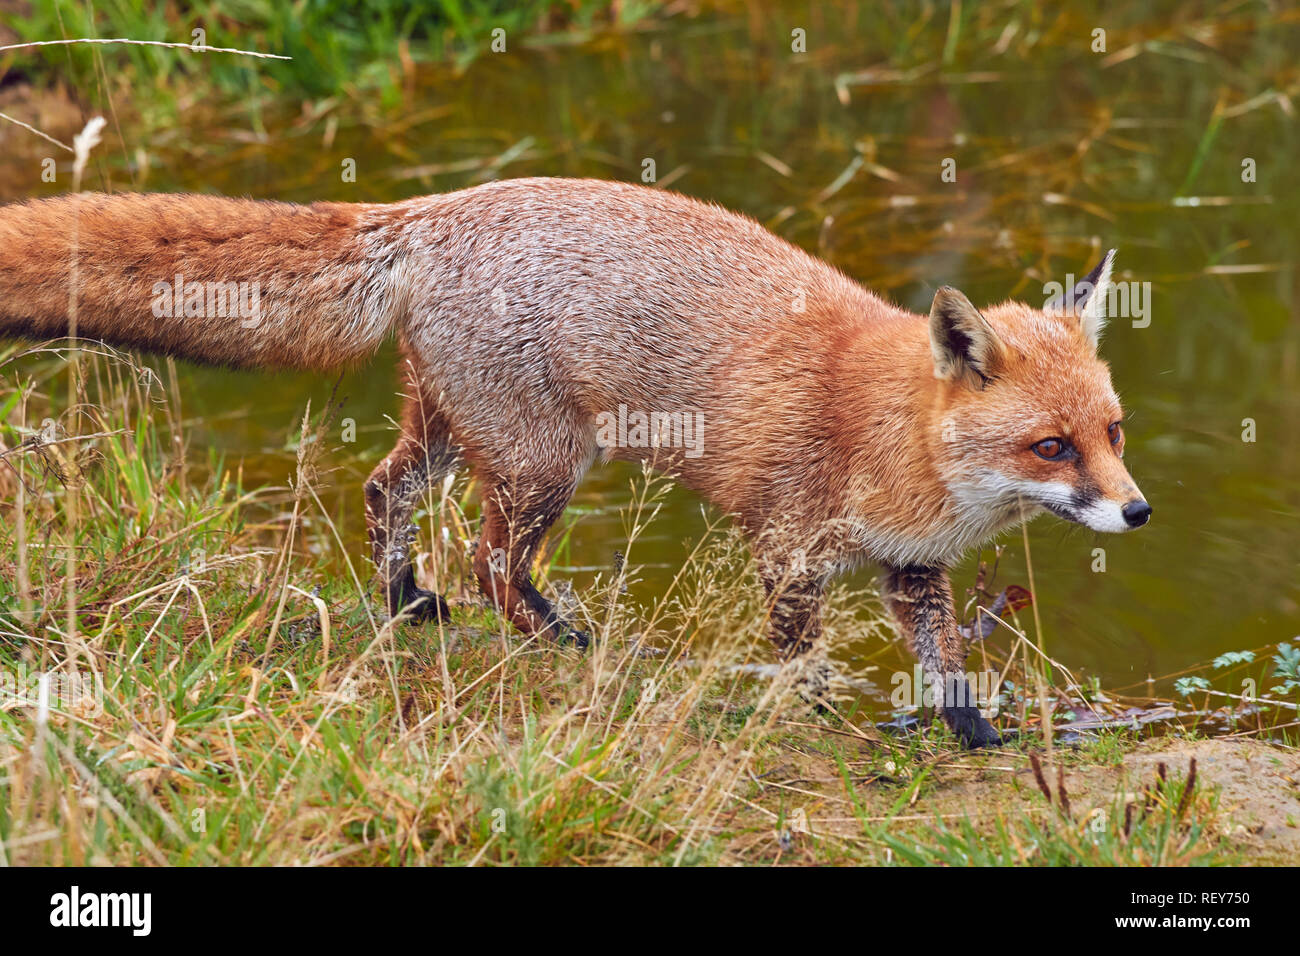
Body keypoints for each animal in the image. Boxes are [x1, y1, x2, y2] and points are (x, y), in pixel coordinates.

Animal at [0, 178, 1149, 749]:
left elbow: (945, 662)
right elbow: (801, 655)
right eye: (1050, 446)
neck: (888, 437)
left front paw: (972, 733)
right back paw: (569, 643)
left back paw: (405, 600)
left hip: (454, 433)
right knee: (492, 567)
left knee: (382, 492)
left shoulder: (913, 569)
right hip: (544, 462)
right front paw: (812, 714)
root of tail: (426, 208)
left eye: (1115, 431)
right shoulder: (788, 549)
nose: (1138, 515)